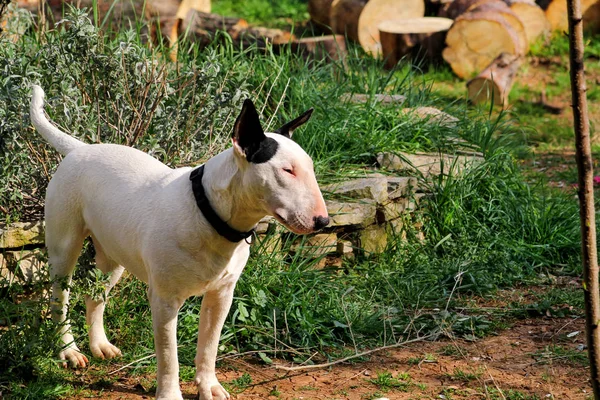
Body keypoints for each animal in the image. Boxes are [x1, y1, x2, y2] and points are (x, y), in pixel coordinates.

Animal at [30, 86, 330, 398]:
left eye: (309, 168)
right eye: (287, 170)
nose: (323, 221)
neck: (208, 211)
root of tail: (81, 149)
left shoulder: (221, 295)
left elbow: (209, 346)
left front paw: (210, 386)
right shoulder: (164, 300)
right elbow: (168, 355)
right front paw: (170, 393)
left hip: (114, 255)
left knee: (96, 295)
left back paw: (99, 345)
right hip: (64, 246)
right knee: (60, 298)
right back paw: (68, 350)